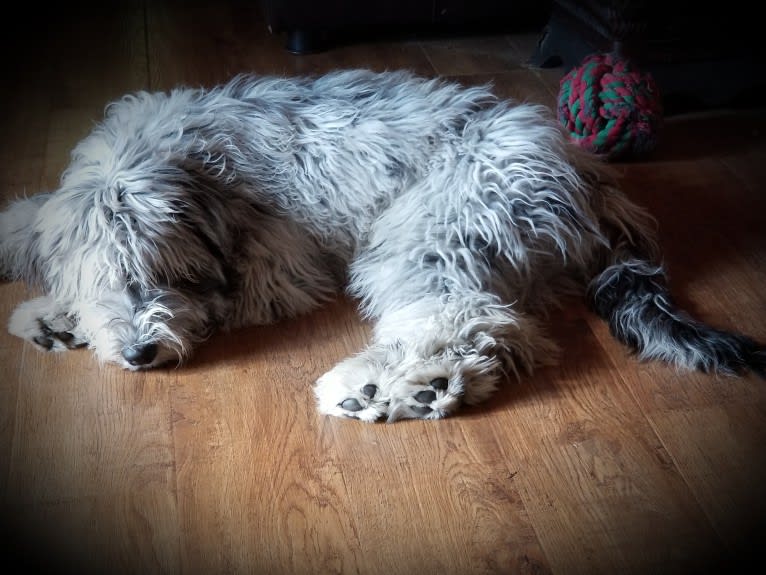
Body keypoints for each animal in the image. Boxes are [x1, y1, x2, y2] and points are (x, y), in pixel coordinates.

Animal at [0, 71, 764, 424]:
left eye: (166, 275)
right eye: (107, 278)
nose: (140, 353)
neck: (187, 163)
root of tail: (589, 176)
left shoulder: (280, 263)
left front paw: (54, 314)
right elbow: (31, 222)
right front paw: (52, 309)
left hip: (427, 228)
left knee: (470, 322)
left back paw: (390, 386)